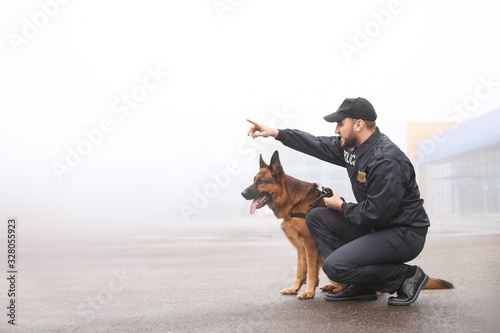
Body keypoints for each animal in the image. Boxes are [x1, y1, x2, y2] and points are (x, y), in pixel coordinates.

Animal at [241, 150, 454, 298]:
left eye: (260, 181)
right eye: (253, 180)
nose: (242, 193)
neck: (294, 202)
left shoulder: (309, 245)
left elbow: (311, 273)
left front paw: (308, 292)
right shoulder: (300, 248)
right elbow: (301, 271)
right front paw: (295, 289)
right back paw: (334, 287)